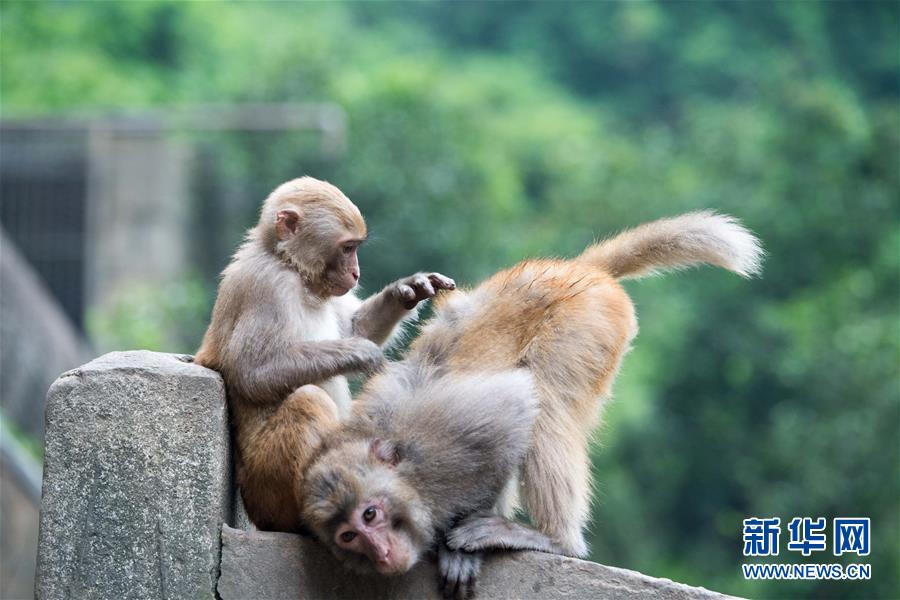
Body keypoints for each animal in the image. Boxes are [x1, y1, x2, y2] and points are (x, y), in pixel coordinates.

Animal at [193, 176, 454, 532]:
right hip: (266, 489)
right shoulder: (266, 285)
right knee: (308, 400)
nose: (356, 273)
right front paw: (363, 354)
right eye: (347, 248)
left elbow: (354, 327)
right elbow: (253, 373)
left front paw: (408, 290)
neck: (289, 267)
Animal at [300, 210, 760, 596]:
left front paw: (460, 549)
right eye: (348, 537)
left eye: (371, 515)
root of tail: (576, 269)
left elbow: (517, 403)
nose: (379, 552)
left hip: (586, 323)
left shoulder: (452, 436)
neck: (410, 469)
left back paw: (554, 539)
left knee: (547, 400)